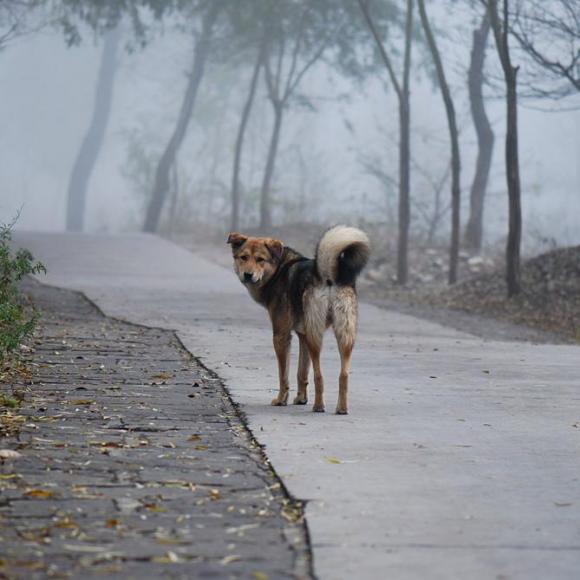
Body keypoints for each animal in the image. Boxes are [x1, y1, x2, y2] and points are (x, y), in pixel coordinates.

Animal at [228, 225, 372, 412]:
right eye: (243, 257)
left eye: (260, 259)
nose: (247, 275)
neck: (279, 269)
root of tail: (327, 274)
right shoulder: (302, 335)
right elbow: (301, 372)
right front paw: (301, 399)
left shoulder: (281, 335)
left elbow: (284, 374)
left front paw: (281, 400)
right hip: (343, 335)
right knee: (343, 375)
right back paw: (341, 408)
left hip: (315, 336)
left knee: (319, 375)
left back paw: (319, 406)